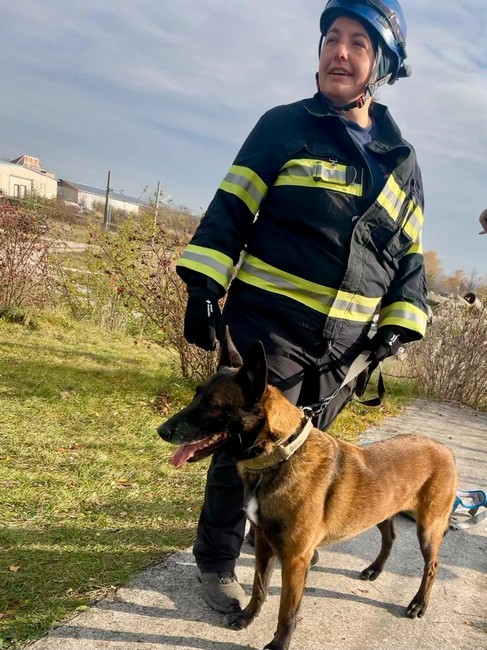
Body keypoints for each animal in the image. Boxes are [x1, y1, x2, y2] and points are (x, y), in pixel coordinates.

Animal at [158, 332, 458, 650]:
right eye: (196, 395)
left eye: (212, 404)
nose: (161, 431)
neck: (279, 457)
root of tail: (445, 449)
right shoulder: (264, 544)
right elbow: (259, 588)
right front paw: (248, 617)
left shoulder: (294, 561)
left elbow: (286, 612)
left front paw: (279, 644)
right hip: (382, 511)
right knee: (389, 538)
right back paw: (375, 569)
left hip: (428, 528)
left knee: (432, 565)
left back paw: (419, 603)